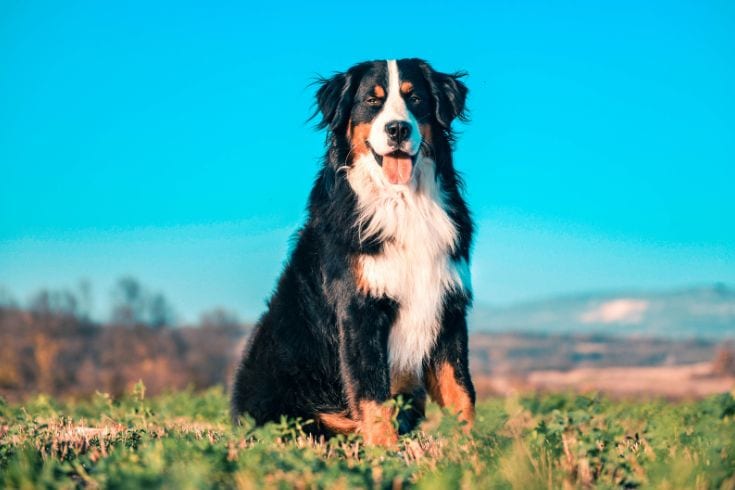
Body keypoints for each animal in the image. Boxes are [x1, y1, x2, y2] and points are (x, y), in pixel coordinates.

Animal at [231, 57, 478, 444]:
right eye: (372, 101)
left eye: (415, 98)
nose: (397, 129)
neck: (403, 202)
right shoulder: (359, 311)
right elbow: (372, 394)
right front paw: (386, 452)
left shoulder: (448, 307)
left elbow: (461, 392)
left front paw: (473, 450)